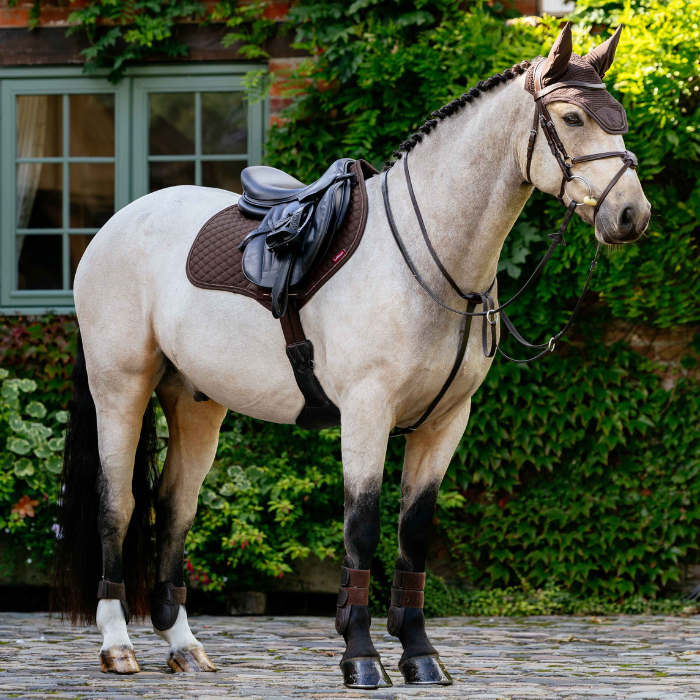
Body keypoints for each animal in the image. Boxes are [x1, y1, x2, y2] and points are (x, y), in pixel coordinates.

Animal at [52, 23, 649, 688]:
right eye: (571, 117)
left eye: (619, 120)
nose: (632, 215)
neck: (427, 258)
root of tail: (113, 226)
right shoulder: (367, 414)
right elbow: (361, 528)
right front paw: (360, 655)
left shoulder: (445, 424)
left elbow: (413, 533)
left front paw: (419, 654)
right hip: (121, 390)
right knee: (118, 504)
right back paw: (117, 645)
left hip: (196, 404)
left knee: (174, 505)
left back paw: (183, 645)